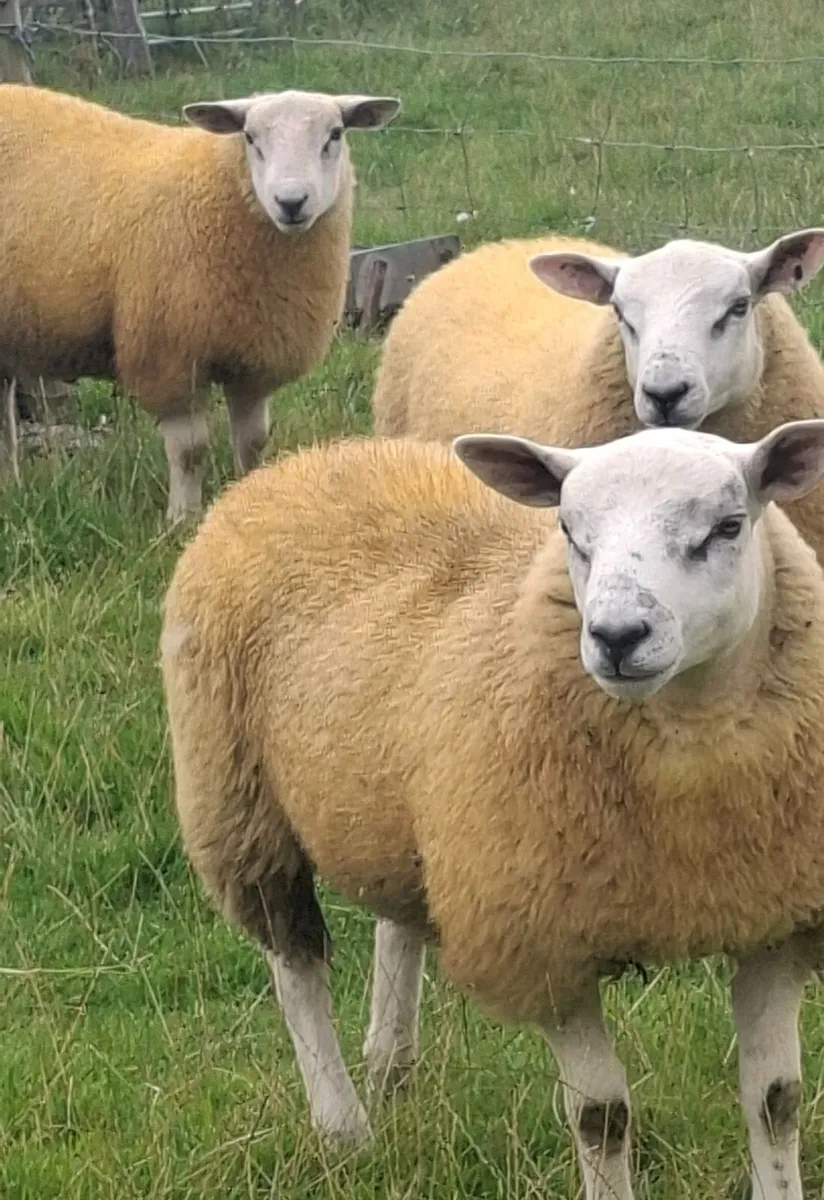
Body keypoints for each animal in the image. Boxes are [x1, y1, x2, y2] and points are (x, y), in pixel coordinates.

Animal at [0, 84, 400, 521]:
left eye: (335, 134)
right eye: (250, 138)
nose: (291, 201)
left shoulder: (253, 361)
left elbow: (253, 441)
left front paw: (248, 496)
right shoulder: (168, 357)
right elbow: (190, 450)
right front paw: (182, 517)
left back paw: (11, 483)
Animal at [162, 418, 824, 1200]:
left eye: (727, 527)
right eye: (568, 529)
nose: (616, 637)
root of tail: (306, 462)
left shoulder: (775, 920)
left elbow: (776, 1101)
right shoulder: (544, 940)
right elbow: (602, 1118)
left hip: (406, 803)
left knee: (399, 921)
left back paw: (392, 1065)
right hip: (238, 802)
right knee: (295, 965)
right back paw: (345, 1127)